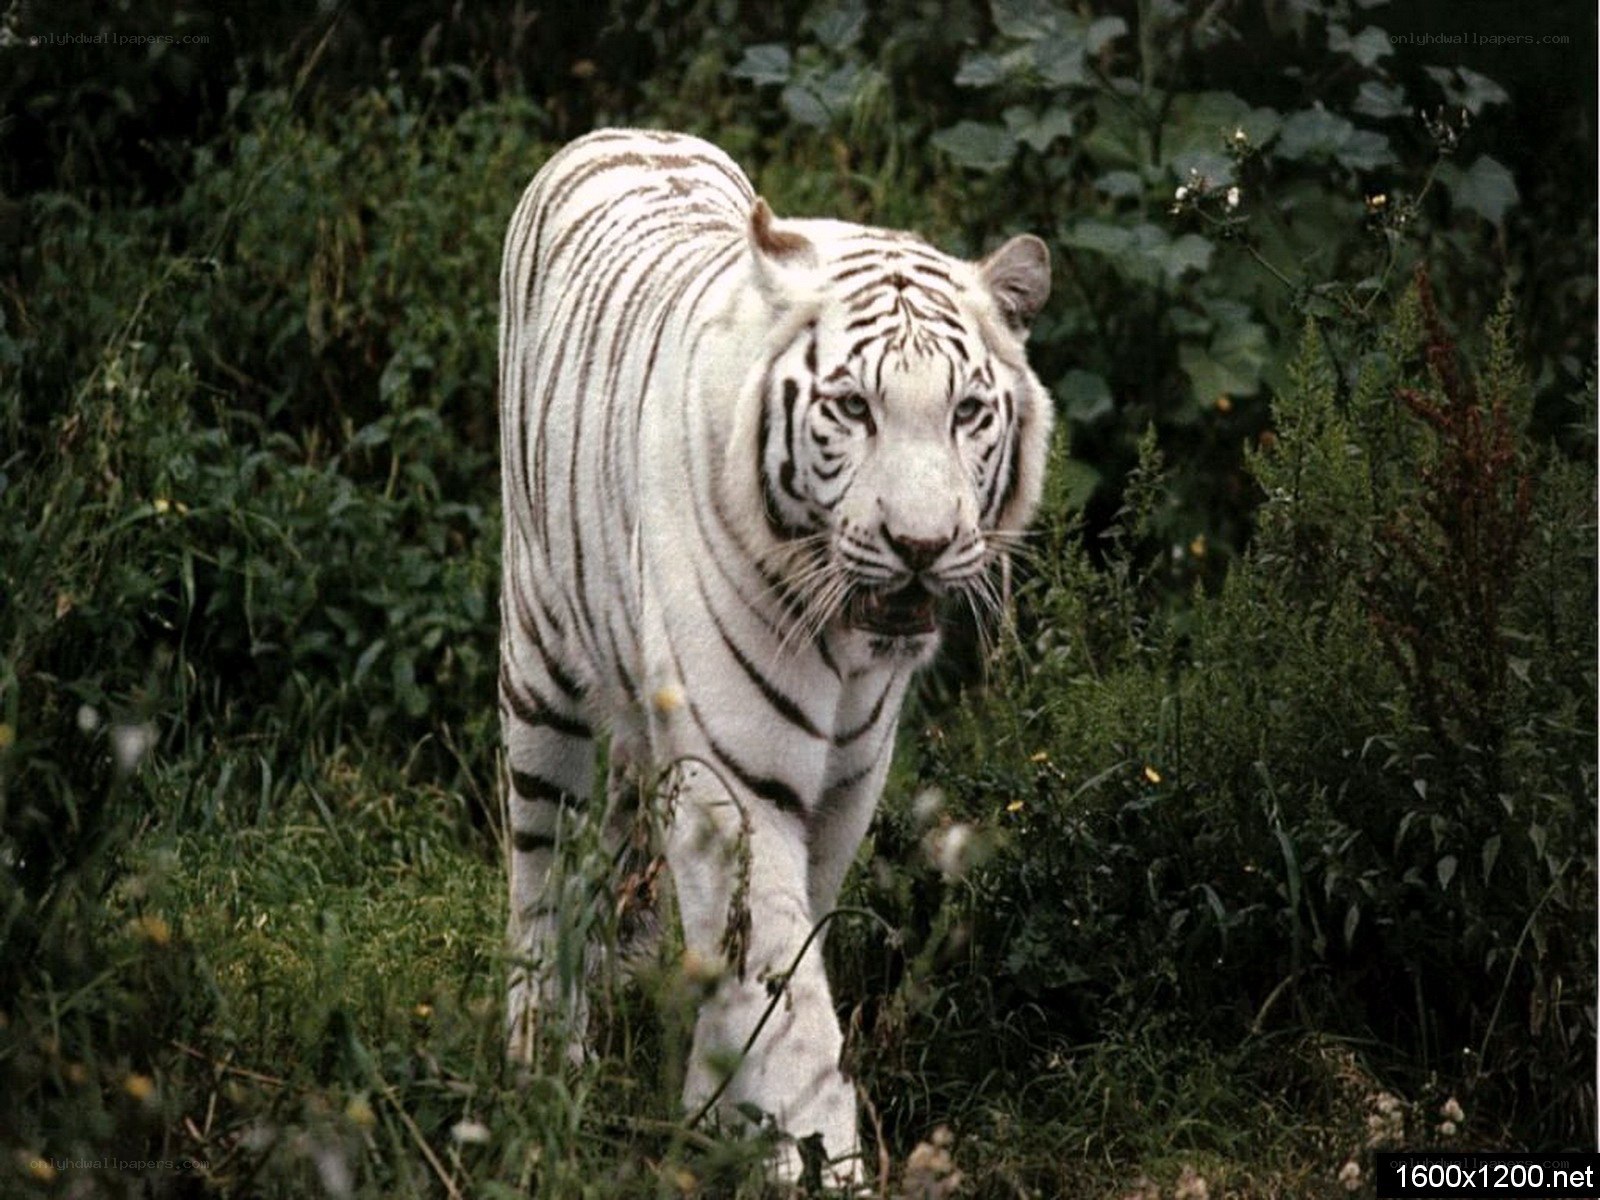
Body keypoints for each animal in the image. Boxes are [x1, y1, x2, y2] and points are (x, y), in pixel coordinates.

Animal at [497, 127, 1052, 1186]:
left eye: (967, 411)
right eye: (853, 408)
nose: (921, 545)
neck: (848, 643)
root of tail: (625, 131)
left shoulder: (850, 780)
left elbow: (774, 956)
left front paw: (722, 1111)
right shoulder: (738, 776)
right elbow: (784, 988)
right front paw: (814, 1158)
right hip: (540, 673)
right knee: (539, 873)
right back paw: (541, 1057)